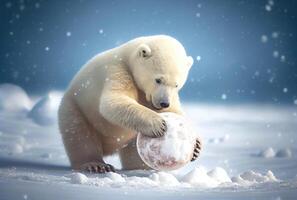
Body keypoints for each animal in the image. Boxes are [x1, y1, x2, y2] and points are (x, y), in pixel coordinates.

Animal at [57, 35, 201, 173]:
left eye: (176, 84)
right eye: (158, 80)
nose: (164, 103)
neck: (129, 56)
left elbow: (176, 110)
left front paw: (197, 146)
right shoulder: (118, 69)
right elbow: (113, 102)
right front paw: (159, 124)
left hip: (131, 138)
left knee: (133, 152)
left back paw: (142, 168)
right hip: (74, 108)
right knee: (80, 136)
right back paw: (96, 165)